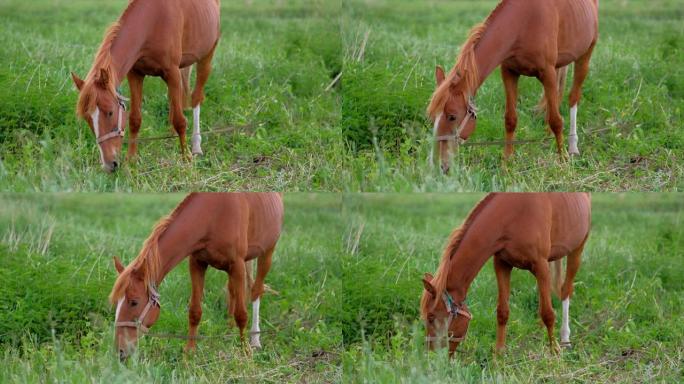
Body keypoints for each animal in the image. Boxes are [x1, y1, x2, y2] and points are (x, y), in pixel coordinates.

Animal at [70, 0, 219, 172]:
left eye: (110, 112)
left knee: (195, 98)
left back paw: (196, 146)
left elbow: (180, 121)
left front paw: (186, 158)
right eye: (87, 118)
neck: (153, 23)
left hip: (206, 57)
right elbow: (135, 119)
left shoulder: (172, 73)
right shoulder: (135, 74)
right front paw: (131, 159)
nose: (109, 165)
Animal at [111, 192, 282, 360]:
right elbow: (194, 311)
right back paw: (229, 327)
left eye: (134, 302)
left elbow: (241, 314)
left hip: (267, 252)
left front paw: (246, 352)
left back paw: (255, 339)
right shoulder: (197, 263)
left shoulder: (237, 265)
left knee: (256, 291)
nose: (120, 351)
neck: (215, 216)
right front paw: (189, 351)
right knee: (232, 290)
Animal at [420, 194, 592, 358]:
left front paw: (555, 352)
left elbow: (548, 313)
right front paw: (499, 355)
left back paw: (565, 339)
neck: (514, 218)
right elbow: (503, 311)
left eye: (431, 317)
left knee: (565, 291)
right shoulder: (502, 264)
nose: (431, 356)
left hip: (577, 250)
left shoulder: (541, 266)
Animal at [428, 0, 600, 172]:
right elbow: (511, 119)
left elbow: (556, 121)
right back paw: (548, 134)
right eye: (433, 118)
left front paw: (563, 160)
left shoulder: (548, 74)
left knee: (573, 97)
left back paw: (572, 147)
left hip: (585, 55)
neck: (524, 24)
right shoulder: (509, 72)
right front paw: (506, 164)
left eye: (452, 116)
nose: (439, 165)